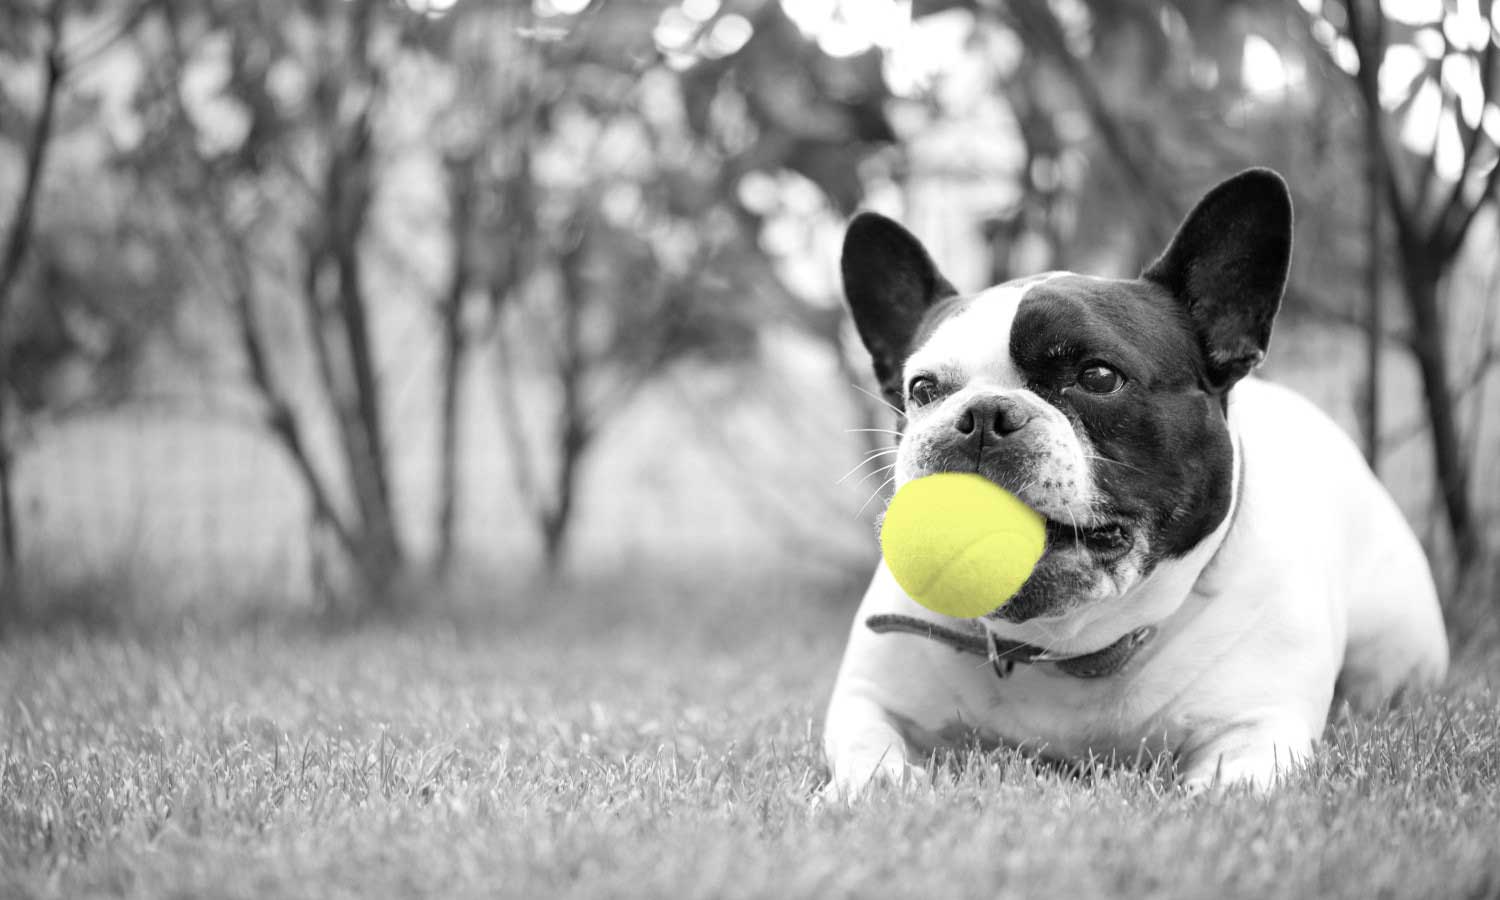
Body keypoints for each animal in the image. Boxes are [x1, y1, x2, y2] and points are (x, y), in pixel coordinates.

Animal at [828, 167, 1446, 792]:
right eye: (923, 390)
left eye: (1098, 377)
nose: (982, 416)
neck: (1068, 646)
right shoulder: (867, 699)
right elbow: (866, 750)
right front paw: (870, 788)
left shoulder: (1256, 725)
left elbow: (1232, 783)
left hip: (1396, 647)